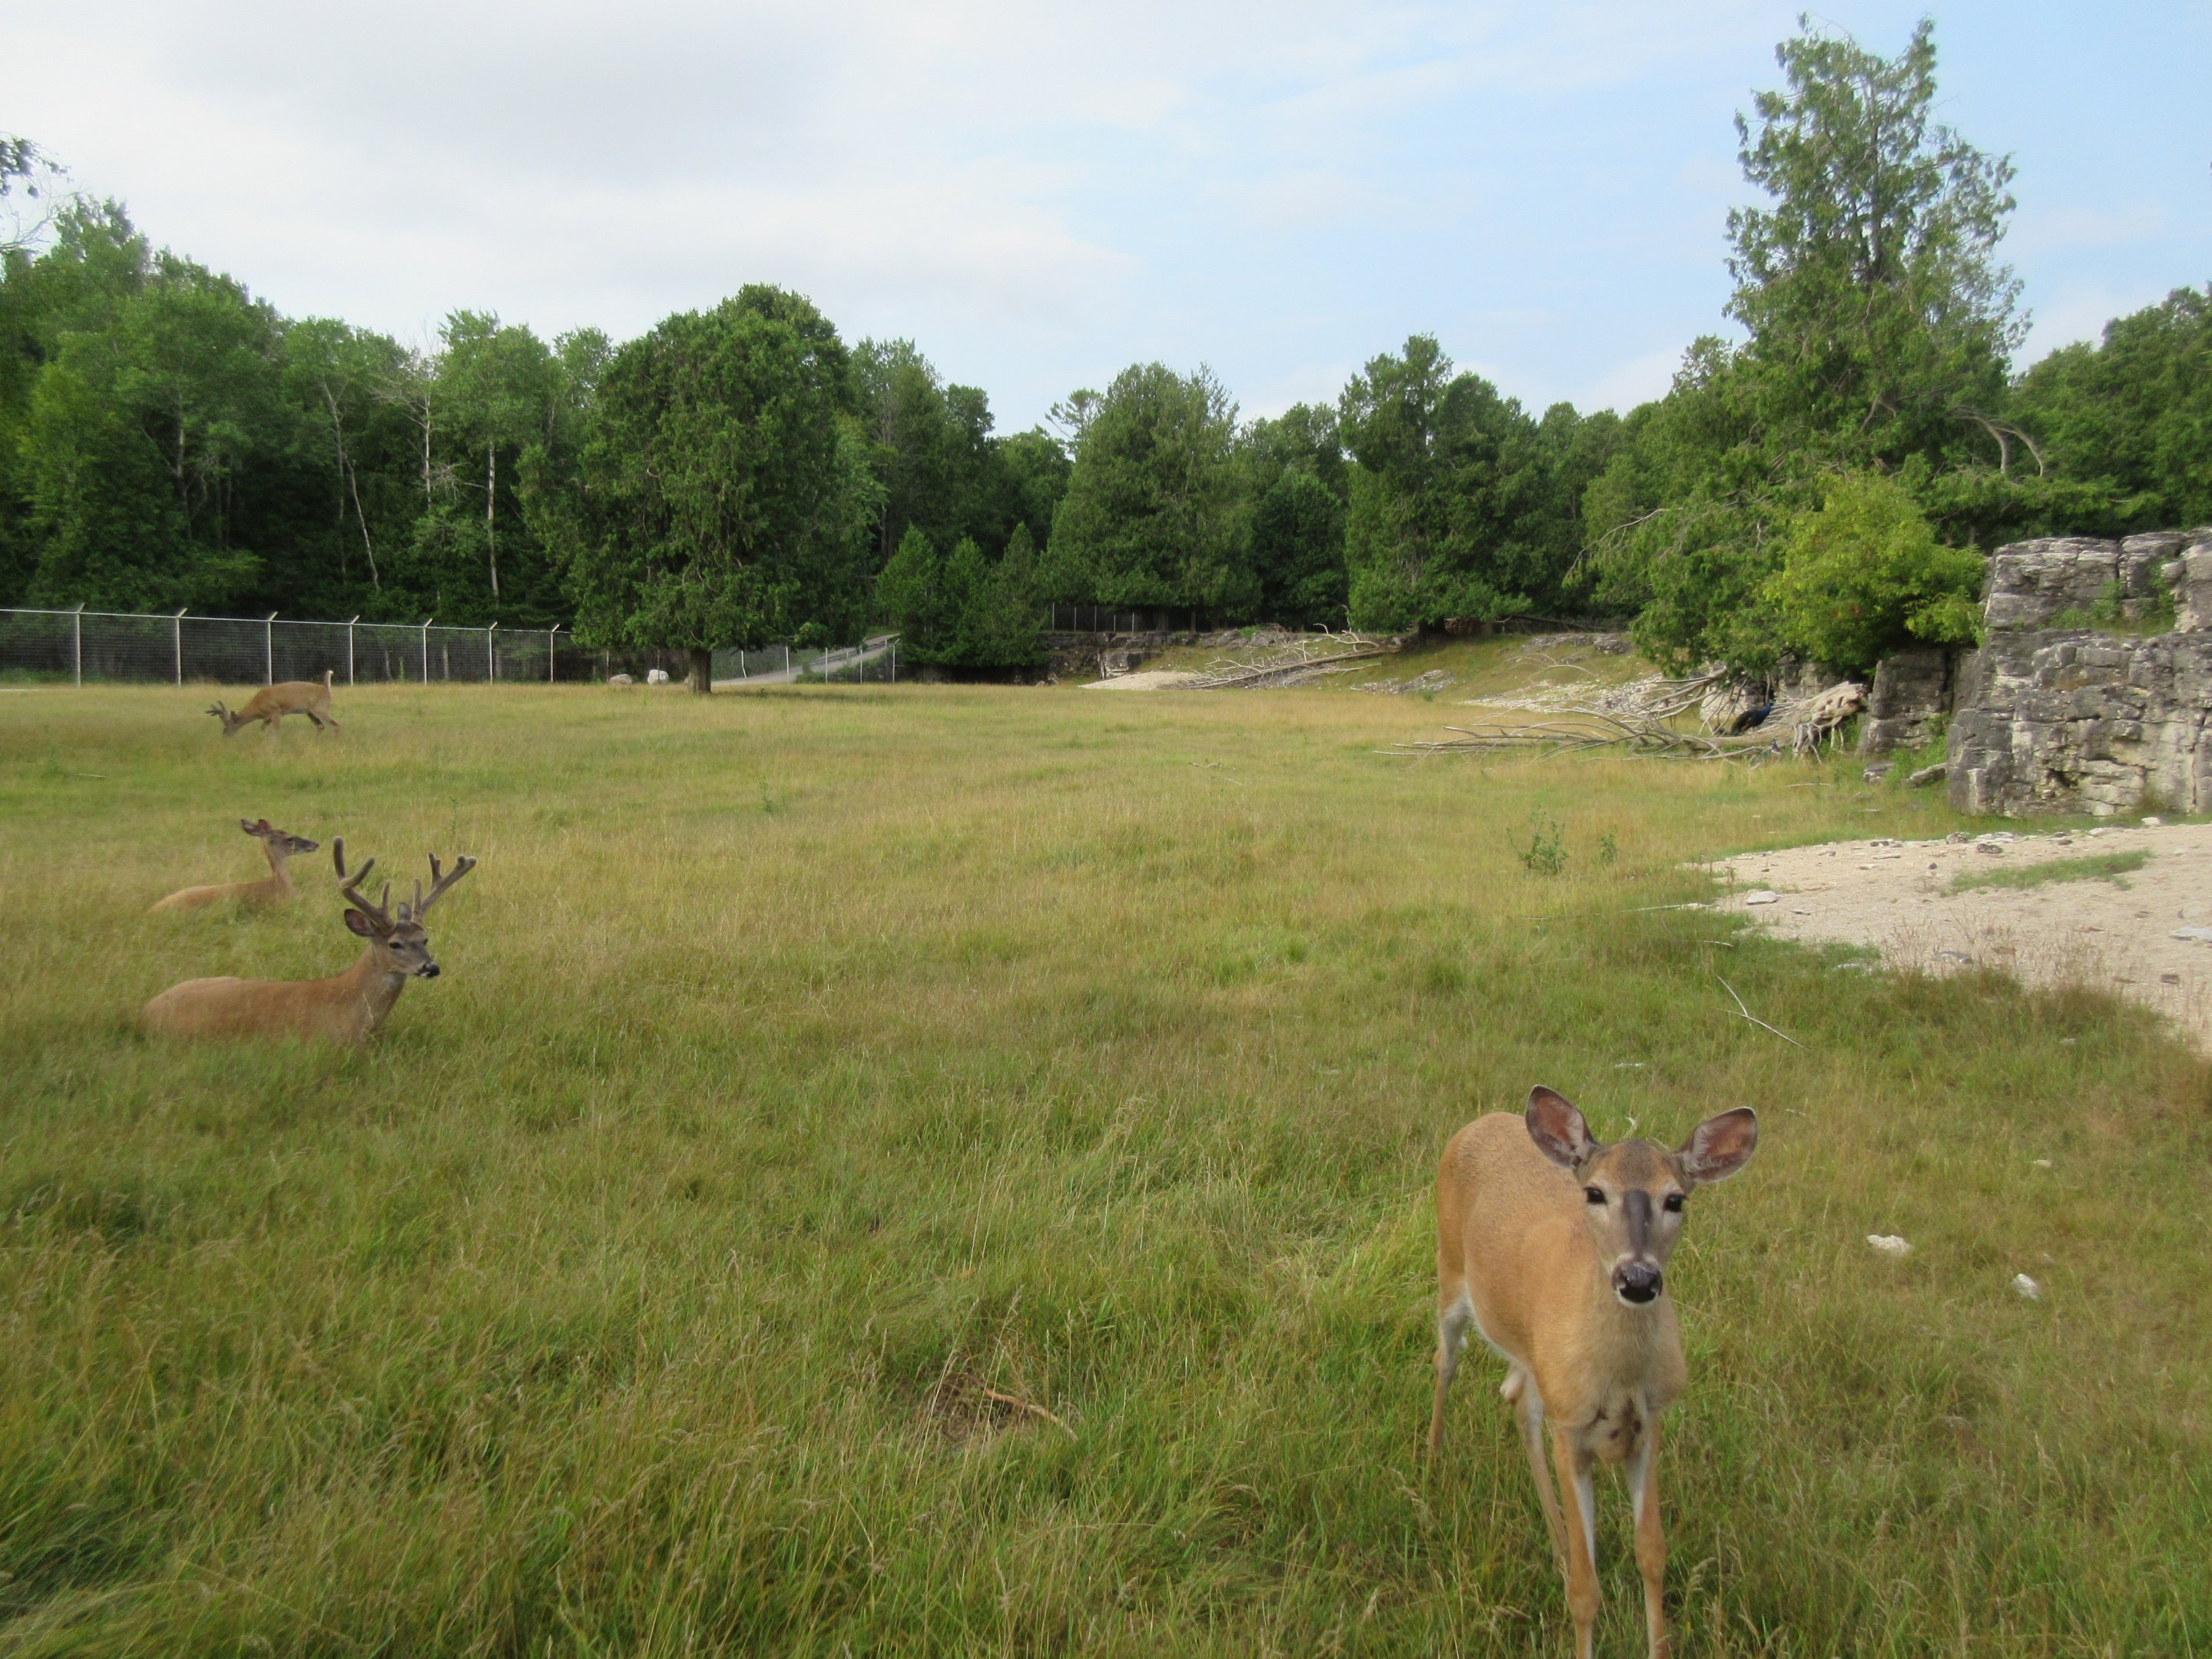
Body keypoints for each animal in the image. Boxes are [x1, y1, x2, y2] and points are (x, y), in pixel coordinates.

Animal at [208, 670, 340, 736]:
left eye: (228, 725)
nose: (224, 734)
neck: (258, 705)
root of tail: (325, 688)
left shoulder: (276, 712)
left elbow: (275, 731)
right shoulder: (268, 717)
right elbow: (264, 728)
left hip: (320, 709)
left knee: (336, 725)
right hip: (310, 712)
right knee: (321, 726)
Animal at [1429, 1087, 1759, 1659]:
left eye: (1677, 1199)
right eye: (1596, 1193)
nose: (1638, 1278)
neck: (1620, 1377)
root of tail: (1482, 1121)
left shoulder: (1649, 1423)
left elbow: (1652, 1554)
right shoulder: (1571, 1430)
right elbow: (1586, 1590)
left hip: (1536, 1361)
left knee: (1516, 1396)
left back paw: (1560, 1541)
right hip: (1450, 1269)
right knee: (1446, 1362)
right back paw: (1428, 1471)